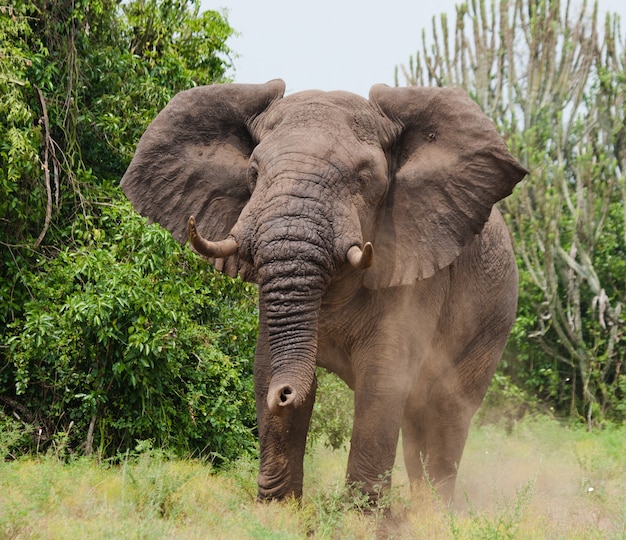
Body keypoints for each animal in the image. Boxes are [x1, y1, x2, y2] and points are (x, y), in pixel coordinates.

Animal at [119, 79, 524, 502]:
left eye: (365, 178)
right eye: (253, 172)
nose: (283, 393)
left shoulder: (414, 266)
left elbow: (382, 380)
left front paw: (360, 513)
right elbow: (267, 366)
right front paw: (278, 508)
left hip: (492, 325)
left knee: (445, 414)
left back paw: (433, 512)